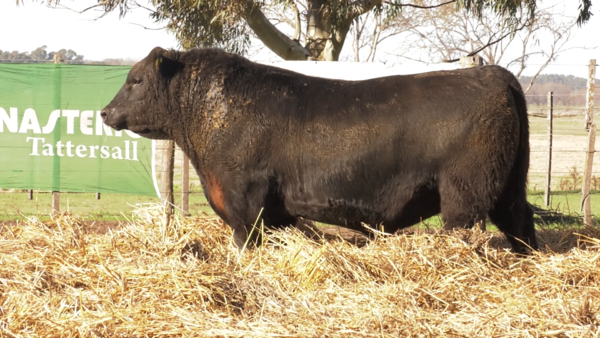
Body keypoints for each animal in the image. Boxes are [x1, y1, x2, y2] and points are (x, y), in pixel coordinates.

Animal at [102, 47, 540, 254]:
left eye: (135, 80)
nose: (105, 112)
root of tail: (491, 73)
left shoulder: (245, 199)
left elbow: (244, 243)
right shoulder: (274, 210)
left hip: (465, 195)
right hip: (509, 189)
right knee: (523, 226)